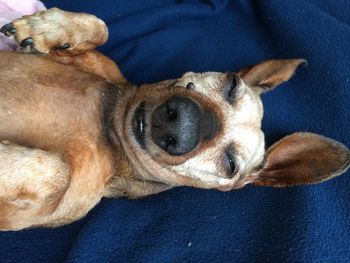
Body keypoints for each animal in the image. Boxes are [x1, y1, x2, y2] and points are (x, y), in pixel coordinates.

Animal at [0, 8, 348, 231]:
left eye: (230, 165)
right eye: (232, 83)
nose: (181, 122)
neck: (111, 125)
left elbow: (56, 171)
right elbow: (101, 27)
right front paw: (47, 28)